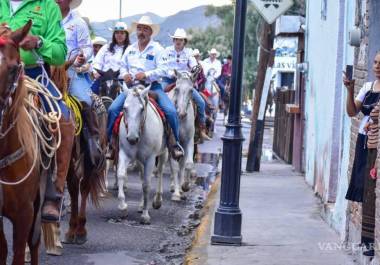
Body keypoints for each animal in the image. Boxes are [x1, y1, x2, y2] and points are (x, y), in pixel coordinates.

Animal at [117, 84, 168, 223]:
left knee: (160, 171)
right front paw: (122, 207)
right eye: (124, 108)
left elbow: (146, 184)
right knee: (141, 176)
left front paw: (145, 215)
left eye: (141, 109)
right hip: (140, 160)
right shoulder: (125, 153)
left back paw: (157, 201)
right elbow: (121, 175)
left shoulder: (150, 159)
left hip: (163, 153)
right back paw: (140, 205)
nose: (132, 138)